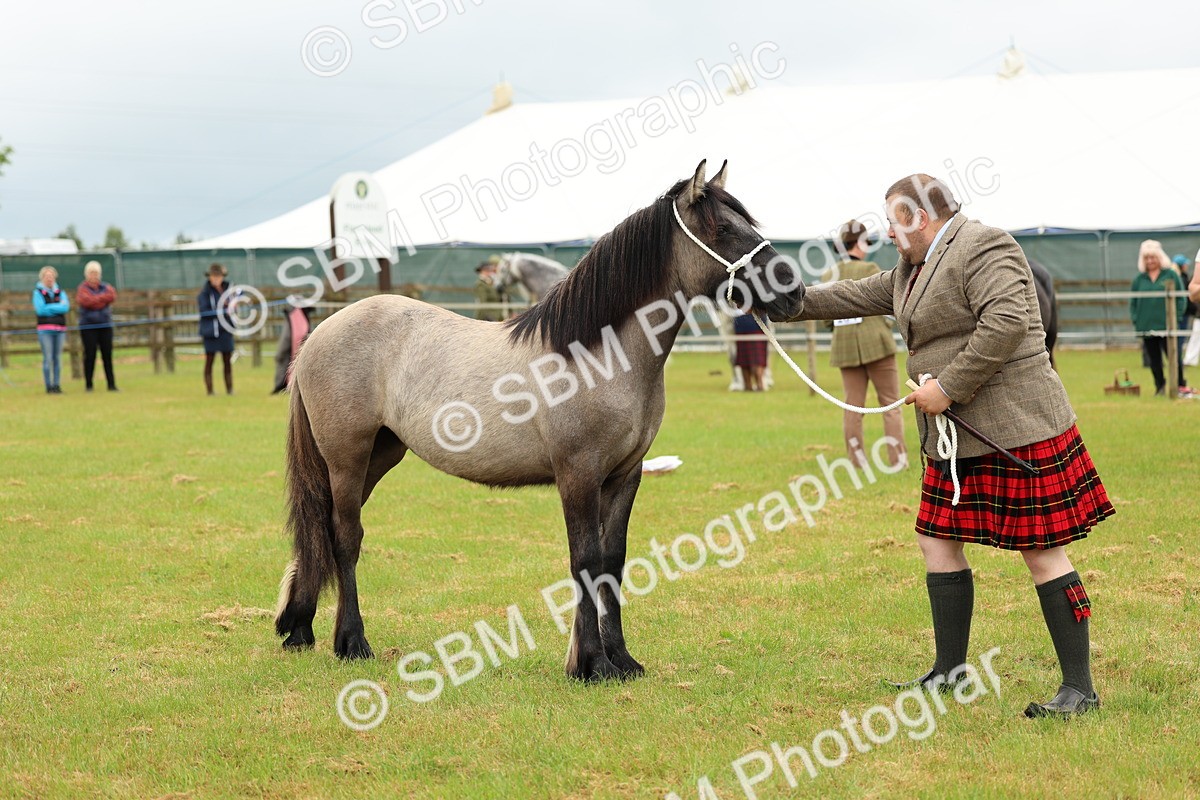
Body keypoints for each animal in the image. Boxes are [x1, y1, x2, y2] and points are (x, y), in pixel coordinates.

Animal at [273, 160, 806, 681]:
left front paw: (621, 660)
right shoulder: (578, 473)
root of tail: (321, 333)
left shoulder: (625, 475)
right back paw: (352, 643)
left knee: (323, 529)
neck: (599, 354)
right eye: (722, 228)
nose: (794, 292)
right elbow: (585, 561)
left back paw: (298, 627)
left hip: (378, 455)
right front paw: (591, 665)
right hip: (347, 457)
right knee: (346, 538)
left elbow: (612, 561)